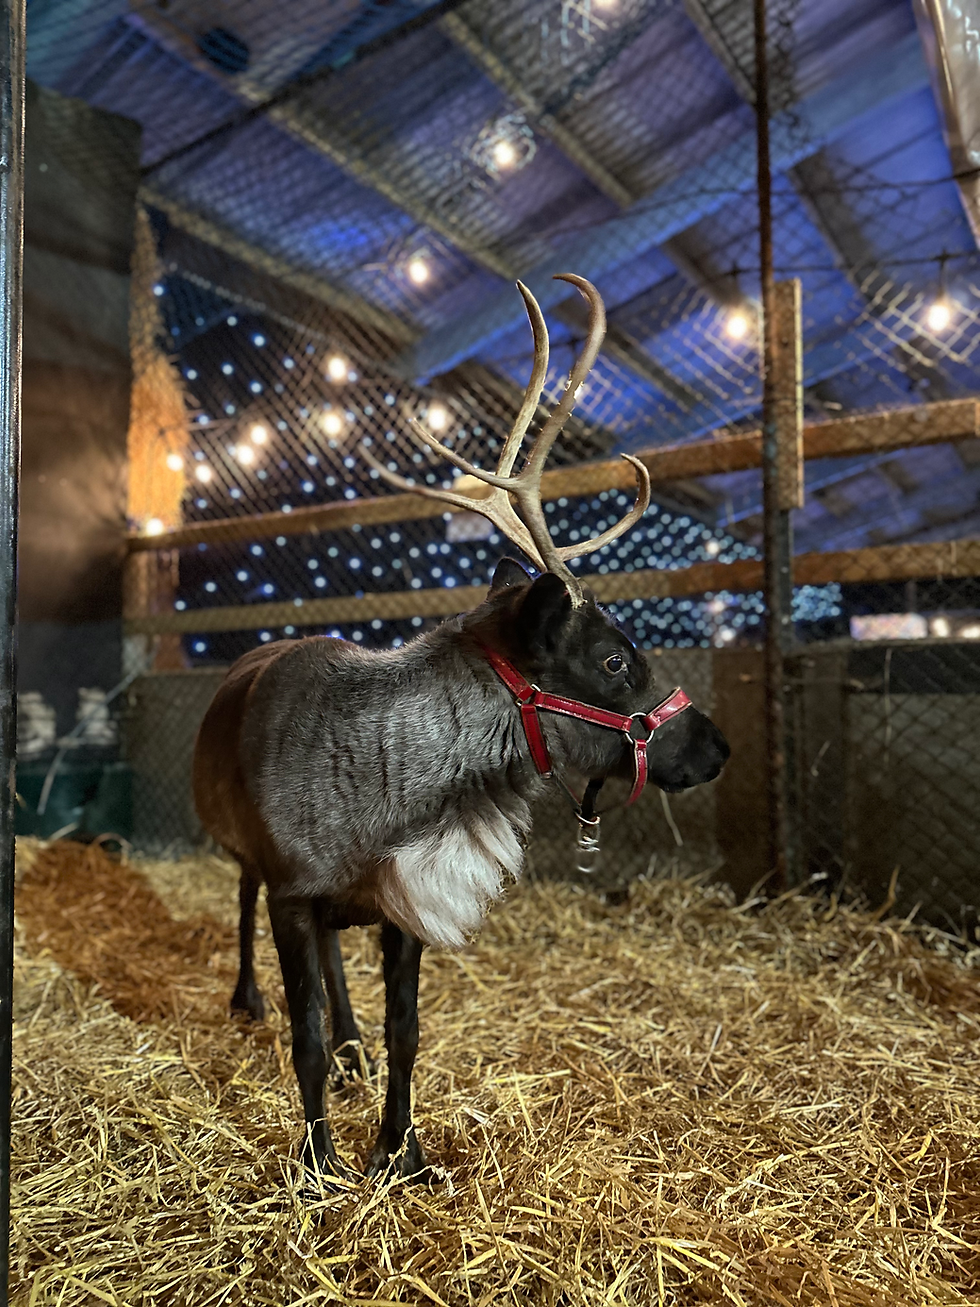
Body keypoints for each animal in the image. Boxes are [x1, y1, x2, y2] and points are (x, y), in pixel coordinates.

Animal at [192, 274, 730, 1184]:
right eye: (615, 658)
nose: (719, 745)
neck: (395, 795)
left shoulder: (400, 900)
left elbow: (407, 1032)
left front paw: (400, 1150)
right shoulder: (293, 891)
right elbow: (301, 1041)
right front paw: (316, 1165)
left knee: (339, 976)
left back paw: (353, 1048)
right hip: (245, 858)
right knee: (241, 907)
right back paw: (247, 999)